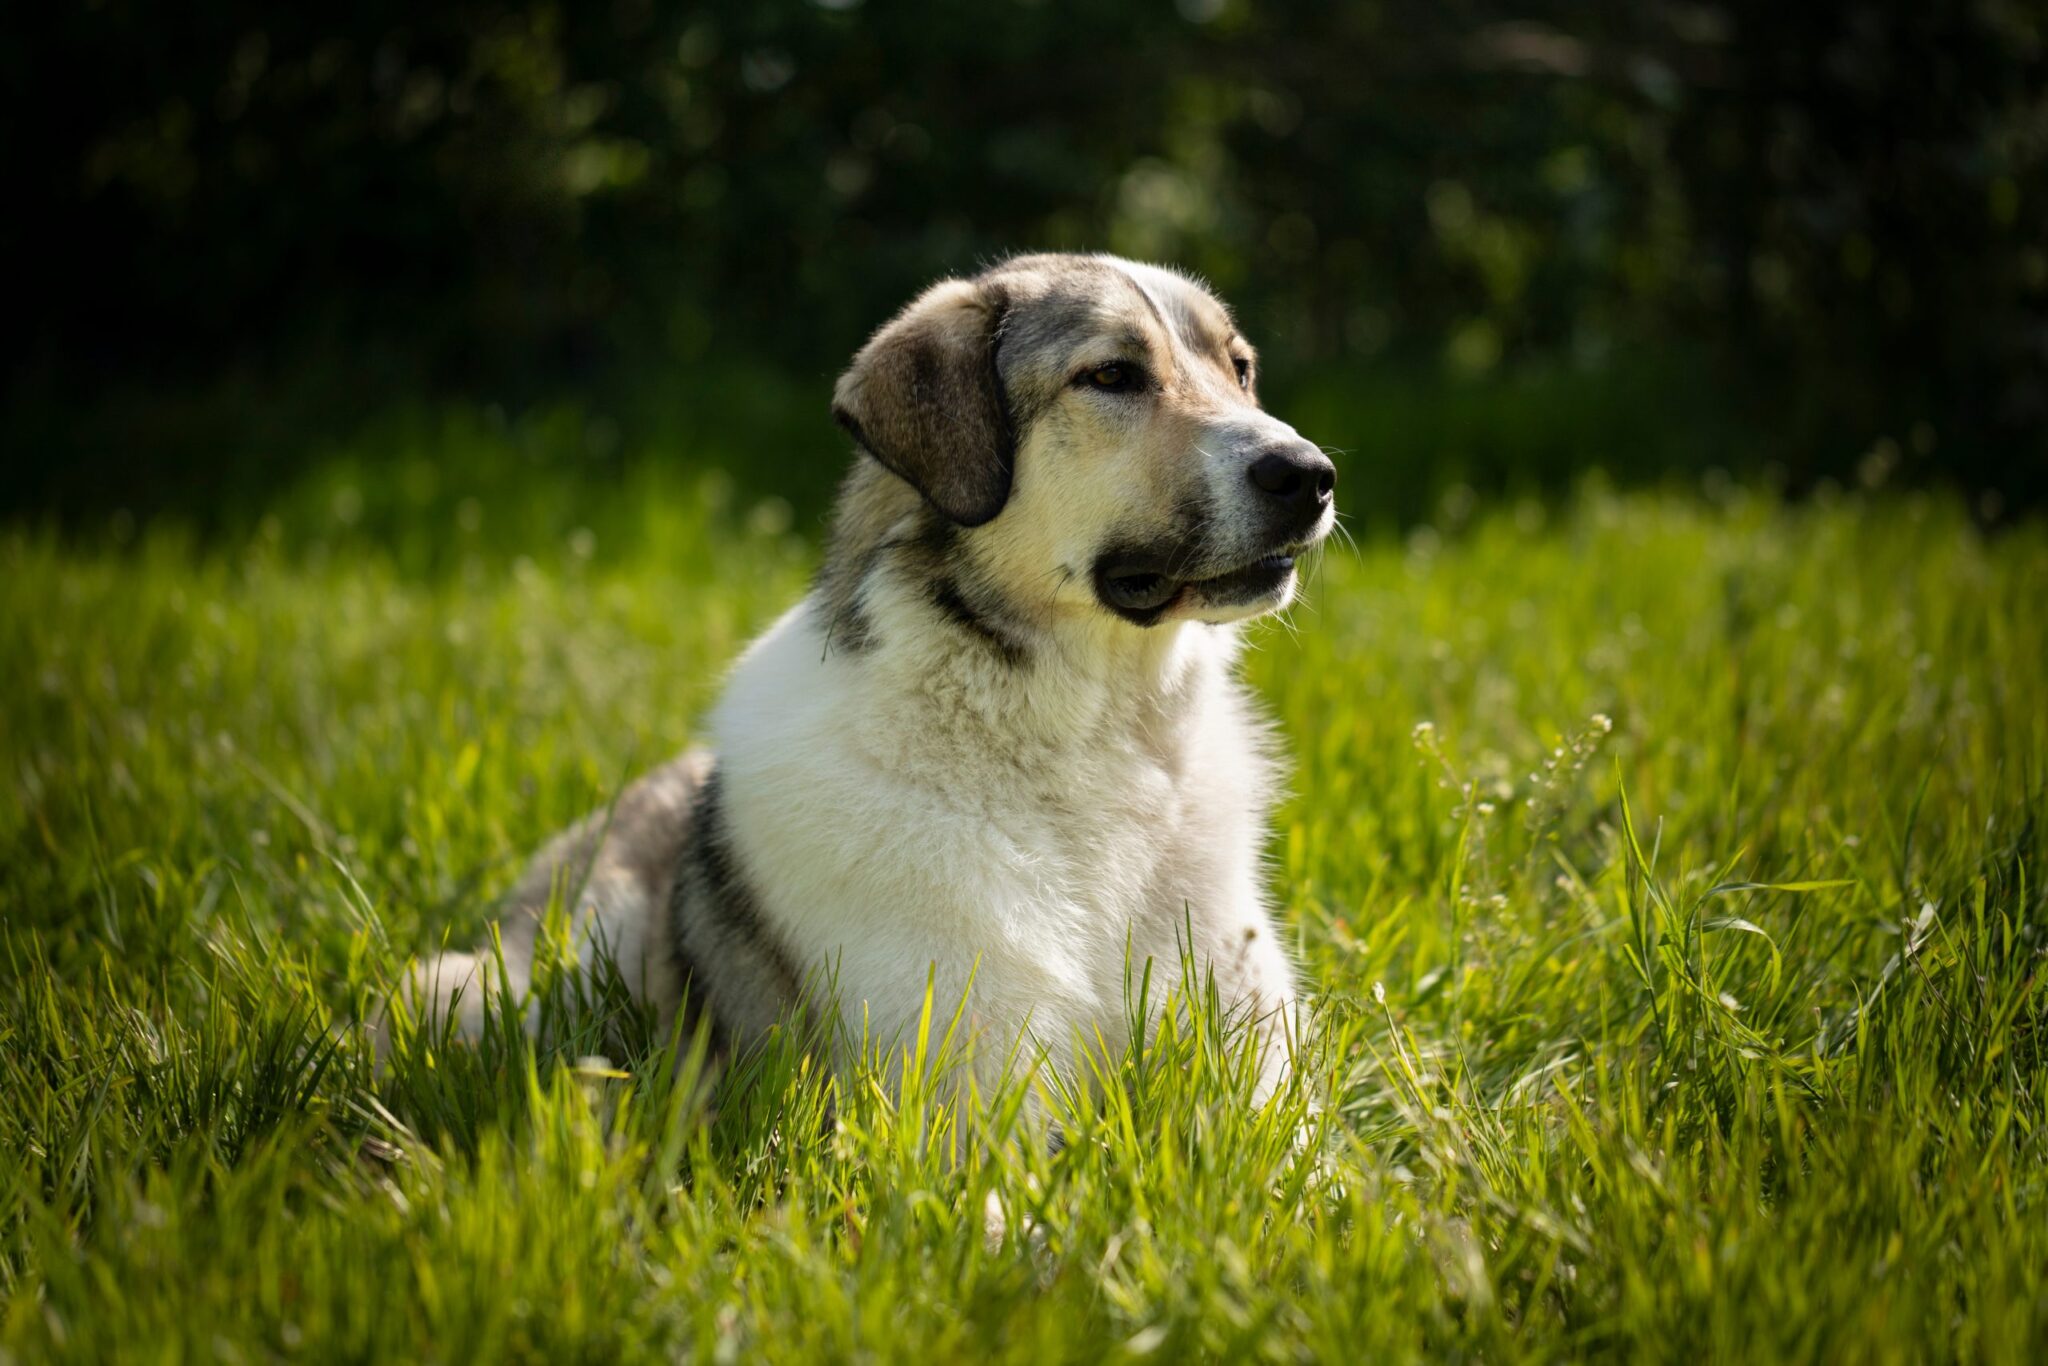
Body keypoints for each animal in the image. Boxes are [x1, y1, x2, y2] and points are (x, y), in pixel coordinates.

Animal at [399, 253, 1335, 1114]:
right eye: (1111, 376)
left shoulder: (1256, 1056)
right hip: (503, 990)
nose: (1312, 475)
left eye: (1239, 370)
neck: (1099, 737)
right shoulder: (970, 1082)